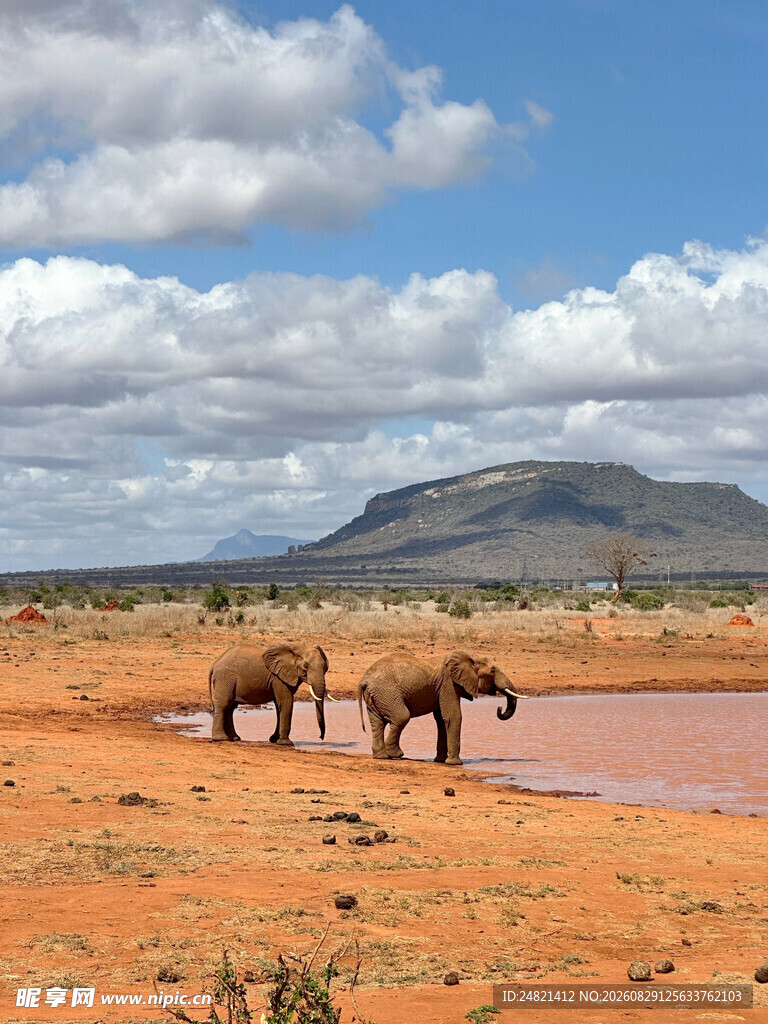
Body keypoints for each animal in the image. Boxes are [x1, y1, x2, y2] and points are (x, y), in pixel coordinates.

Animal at [208, 642, 338, 746]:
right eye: (306, 666)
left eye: (325, 668)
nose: (321, 737)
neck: (298, 648)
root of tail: (215, 663)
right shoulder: (278, 678)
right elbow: (286, 702)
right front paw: (286, 743)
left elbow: (278, 704)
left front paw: (274, 740)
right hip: (225, 678)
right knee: (224, 704)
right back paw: (220, 739)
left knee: (230, 707)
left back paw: (234, 738)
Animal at [357, 650, 528, 765]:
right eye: (492, 671)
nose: (499, 708)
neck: (468, 656)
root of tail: (364, 680)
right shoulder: (449, 683)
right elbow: (453, 716)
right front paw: (455, 763)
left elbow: (441, 719)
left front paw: (440, 760)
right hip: (387, 693)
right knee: (401, 717)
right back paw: (396, 754)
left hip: (378, 695)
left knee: (377, 724)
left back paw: (382, 756)